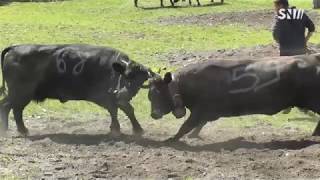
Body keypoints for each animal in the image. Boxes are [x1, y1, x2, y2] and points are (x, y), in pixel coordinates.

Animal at [0, 44, 154, 136]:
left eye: (140, 80)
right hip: (20, 93)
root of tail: (15, 47)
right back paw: (14, 130)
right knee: (10, 107)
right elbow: (124, 109)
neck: (112, 69)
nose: (124, 93)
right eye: (126, 75)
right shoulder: (108, 97)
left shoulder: (113, 97)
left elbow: (116, 110)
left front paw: (116, 128)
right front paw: (136, 129)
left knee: (11, 108)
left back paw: (15, 130)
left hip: (18, 94)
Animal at [148, 54, 320, 141]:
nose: (153, 114)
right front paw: (193, 135)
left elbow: (186, 126)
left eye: (156, 93)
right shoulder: (206, 112)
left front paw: (171, 139)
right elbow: (198, 125)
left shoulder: (199, 111)